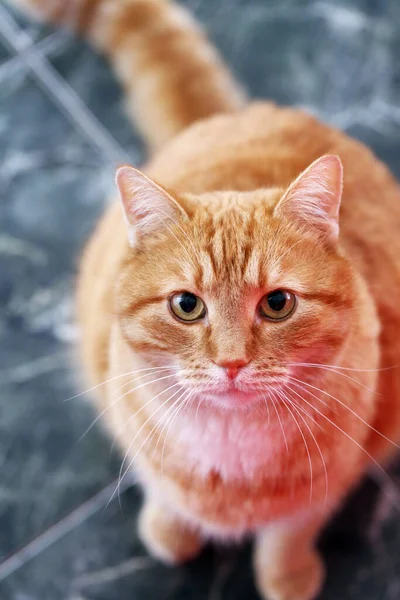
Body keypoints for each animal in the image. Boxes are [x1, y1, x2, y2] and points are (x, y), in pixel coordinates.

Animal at [10, 1, 400, 600]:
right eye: (187, 306)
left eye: (278, 303)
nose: (232, 362)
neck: (230, 452)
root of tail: (238, 114)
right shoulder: (134, 428)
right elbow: (165, 496)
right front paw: (170, 534)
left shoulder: (328, 477)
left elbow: (288, 533)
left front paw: (287, 577)